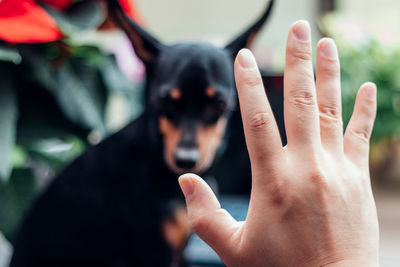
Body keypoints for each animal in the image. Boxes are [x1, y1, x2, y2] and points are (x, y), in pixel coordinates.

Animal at [9, 1, 274, 266]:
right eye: (165, 101)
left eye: (219, 104)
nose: (185, 160)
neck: (154, 159)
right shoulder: (155, 254)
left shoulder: (181, 252)